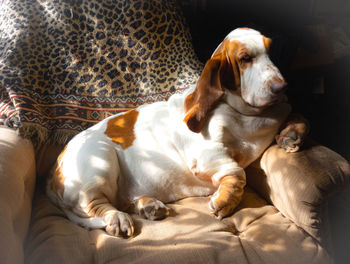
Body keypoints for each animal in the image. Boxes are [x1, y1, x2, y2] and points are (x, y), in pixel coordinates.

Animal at [47, 28, 308, 237]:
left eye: (272, 52)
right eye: (245, 58)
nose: (281, 86)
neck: (244, 112)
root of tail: (52, 175)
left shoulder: (281, 111)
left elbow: (296, 114)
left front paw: (291, 135)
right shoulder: (208, 155)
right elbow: (237, 173)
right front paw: (225, 201)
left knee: (122, 201)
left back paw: (149, 206)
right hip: (100, 159)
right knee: (97, 206)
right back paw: (119, 219)